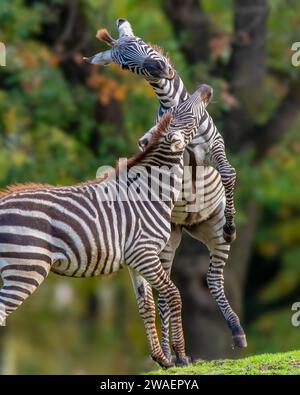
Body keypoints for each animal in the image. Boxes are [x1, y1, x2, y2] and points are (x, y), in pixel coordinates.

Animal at [0, 85, 211, 370]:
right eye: (185, 113)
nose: (206, 88)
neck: (152, 190)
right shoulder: (145, 253)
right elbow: (173, 294)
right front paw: (181, 356)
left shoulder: (136, 259)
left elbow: (146, 305)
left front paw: (161, 359)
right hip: (25, 268)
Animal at [83, 18, 247, 358]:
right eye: (123, 64)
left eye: (142, 44)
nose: (158, 68)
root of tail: (191, 226)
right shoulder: (167, 153)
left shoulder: (215, 147)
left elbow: (228, 172)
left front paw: (233, 225)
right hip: (167, 240)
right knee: (165, 289)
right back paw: (173, 352)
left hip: (210, 232)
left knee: (213, 280)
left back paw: (236, 331)